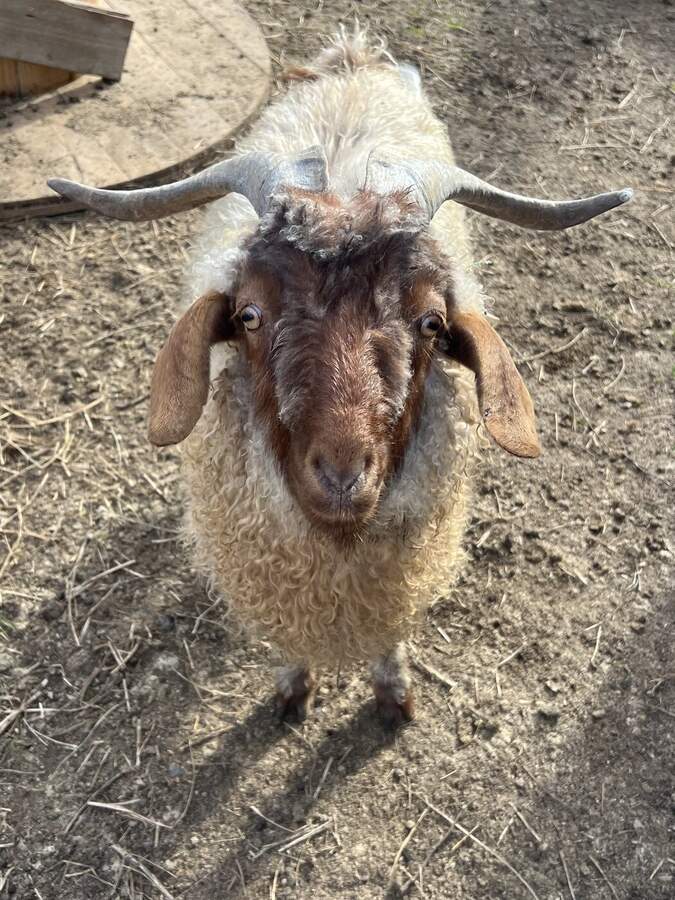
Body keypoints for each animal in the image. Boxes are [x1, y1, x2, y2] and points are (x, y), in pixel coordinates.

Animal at [49, 27, 631, 725]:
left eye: (431, 321)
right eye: (249, 314)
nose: (343, 473)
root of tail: (353, 55)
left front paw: (394, 690)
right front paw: (292, 685)